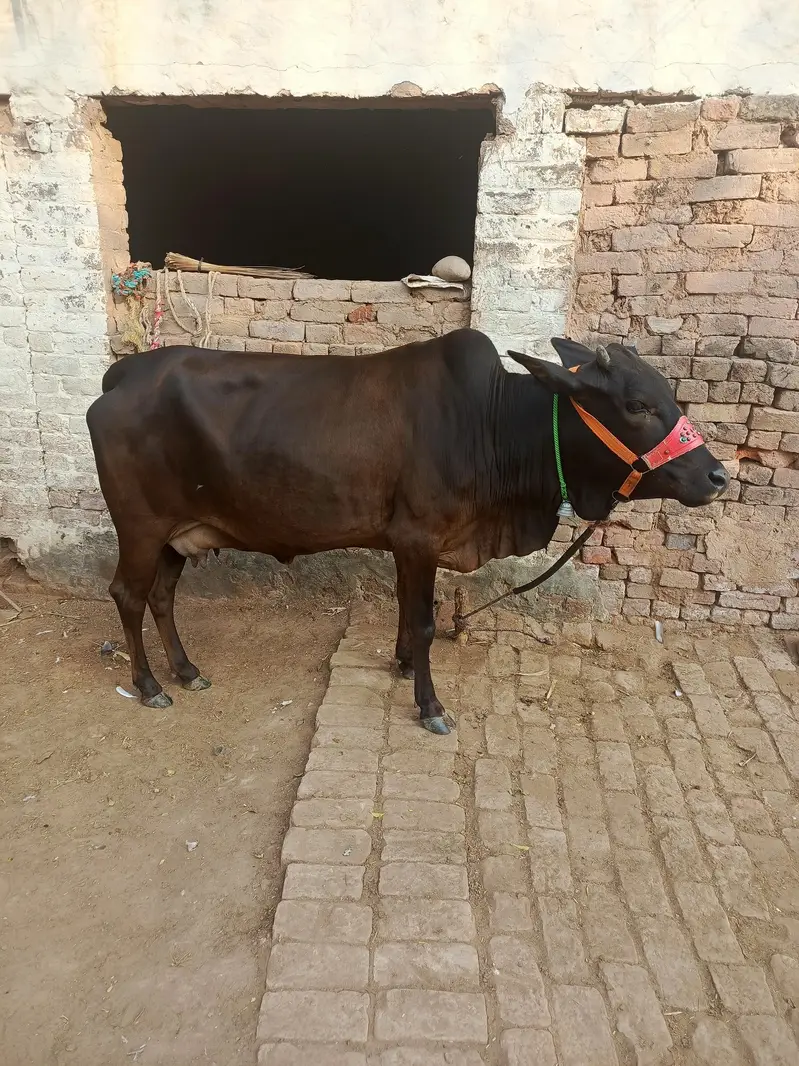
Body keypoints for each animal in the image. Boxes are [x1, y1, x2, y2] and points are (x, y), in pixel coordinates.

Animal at [86, 329, 728, 734]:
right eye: (638, 405)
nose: (717, 476)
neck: (491, 425)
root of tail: (120, 375)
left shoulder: (405, 543)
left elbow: (404, 609)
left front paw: (399, 666)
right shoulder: (419, 538)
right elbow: (423, 622)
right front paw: (429, 704)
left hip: (180, 533)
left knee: (162, 598)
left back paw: (187, 671)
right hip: (141, 528)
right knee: (128, 596)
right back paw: (150, 685)